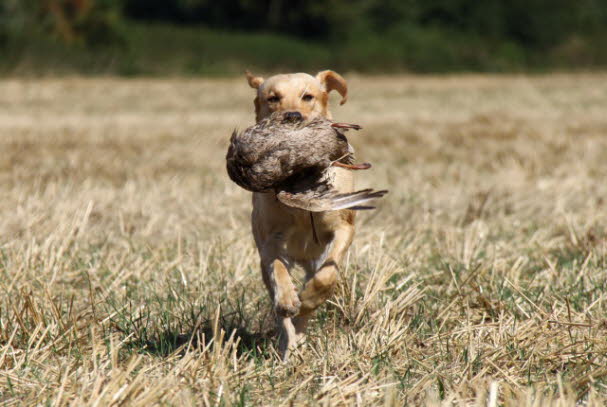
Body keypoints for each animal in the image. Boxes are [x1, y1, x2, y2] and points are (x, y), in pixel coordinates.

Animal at [245, 71, 354, 360]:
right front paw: (287, 299)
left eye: (308, 96)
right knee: (281, 313)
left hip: (314, 259)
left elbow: (326, 278)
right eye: (273, 98)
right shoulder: (271, 241)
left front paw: (308, 299)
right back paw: (290, 346)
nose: (292, 116)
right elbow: (279, 271)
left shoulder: (344, 228)